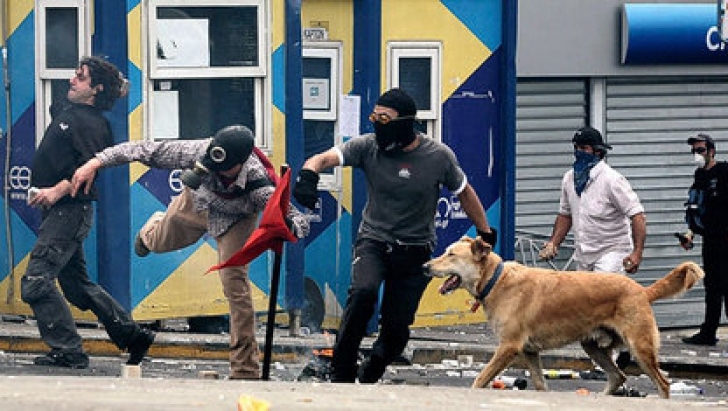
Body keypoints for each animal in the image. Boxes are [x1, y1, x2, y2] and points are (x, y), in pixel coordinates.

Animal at [420, 237, 704, 400]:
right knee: (618, 377)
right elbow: (540, 385)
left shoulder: (509, 347)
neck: (495, 279)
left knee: (663, 384)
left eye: (451, 255)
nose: (424, 266)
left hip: (640, 347)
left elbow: (479, 380)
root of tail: (642, 291)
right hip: (592, 347)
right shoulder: (529, 351)